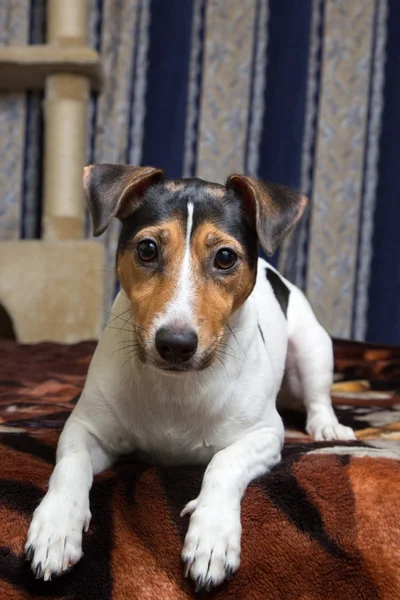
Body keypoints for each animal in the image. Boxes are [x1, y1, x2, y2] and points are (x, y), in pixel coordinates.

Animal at [25, 164, 354, 592]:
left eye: (226, 257)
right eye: (147, 249)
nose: (175, 344)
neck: (176, 386)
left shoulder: (265, 436)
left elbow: (224, 463)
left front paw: (212, 534)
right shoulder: (85, 429)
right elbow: (71, 466)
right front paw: (56, 525)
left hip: (314, 349)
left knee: (318, 397)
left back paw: (328, 427)